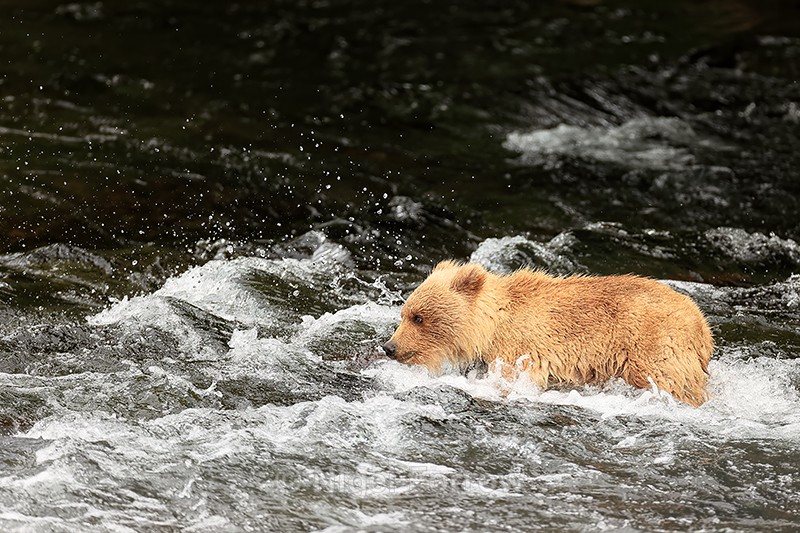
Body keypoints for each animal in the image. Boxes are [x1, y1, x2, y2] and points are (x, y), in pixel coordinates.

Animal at [382, 261, 713, 406]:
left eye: (419, 317)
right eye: (403, 314)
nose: (390, 346)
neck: (491, 328)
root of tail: (702, 325)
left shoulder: (520, 350)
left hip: (654, 347)